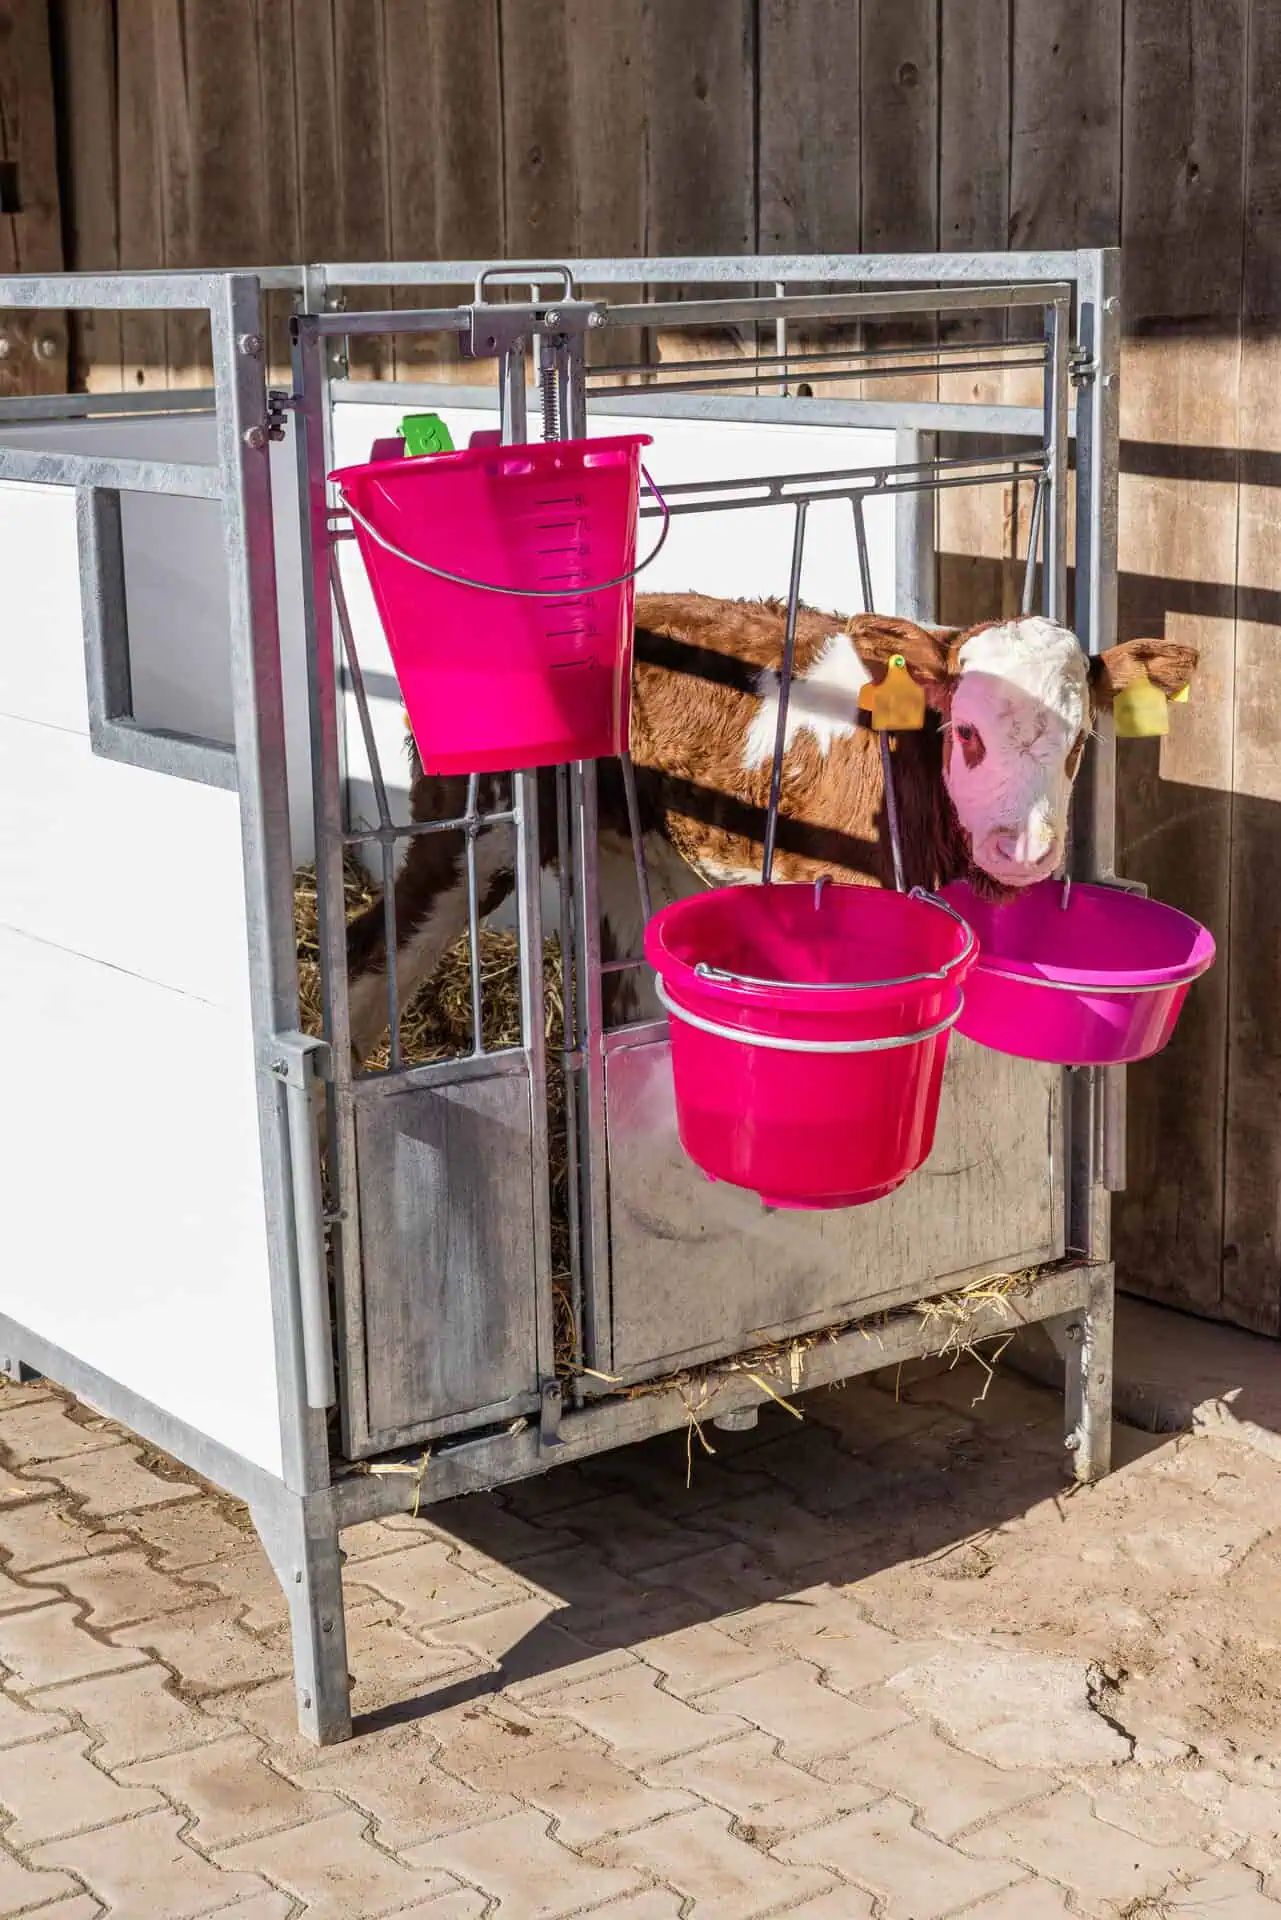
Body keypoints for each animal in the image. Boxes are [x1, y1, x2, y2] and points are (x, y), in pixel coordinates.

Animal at [344, 592, 1197, 1062]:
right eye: (965, 732)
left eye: (1080, 740)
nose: (1022, 850)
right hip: (473, 828)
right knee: (374, 948)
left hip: (629, 850)